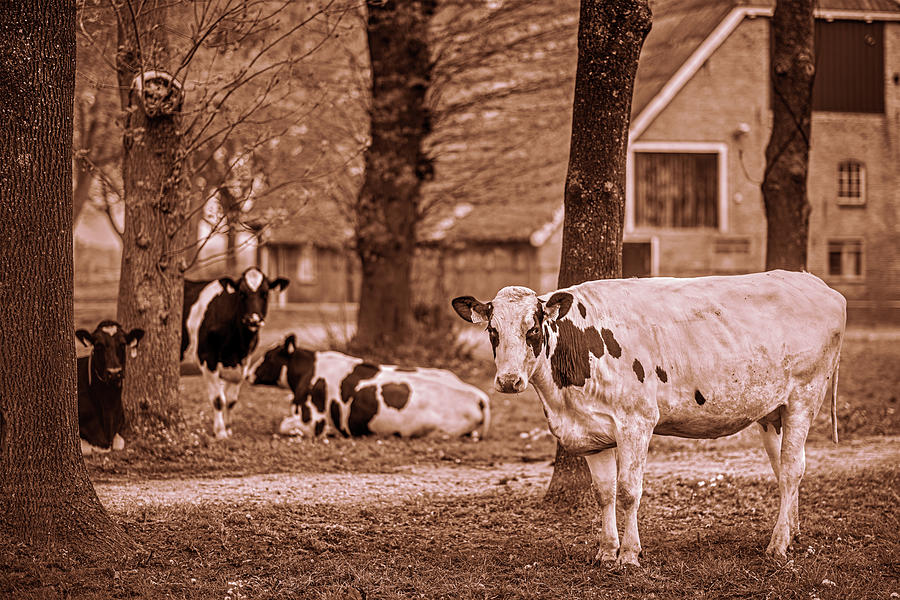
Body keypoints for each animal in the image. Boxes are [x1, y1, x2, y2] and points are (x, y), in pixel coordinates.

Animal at [184, 266, 292, 436]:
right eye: (241, 293)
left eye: (265, 293)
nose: (253, 319)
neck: (237, 345)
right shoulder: (207, 358)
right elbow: (218, 399)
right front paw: (220, 432)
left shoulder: (243, 363)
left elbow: (231, 400)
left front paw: (228, 429)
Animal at [454, 272, 848, 568]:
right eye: (492, 331)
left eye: (532, 329)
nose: (508, 381)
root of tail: (815, 282)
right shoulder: (591, 432)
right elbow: (604, 493)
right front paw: (605, 551)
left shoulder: (636, 422)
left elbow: (629, 491)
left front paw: (629, 555)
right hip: (771, 412)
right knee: (783, 470)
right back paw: (792, 533)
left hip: (803, 397)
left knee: (793, 468)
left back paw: (778, 545)